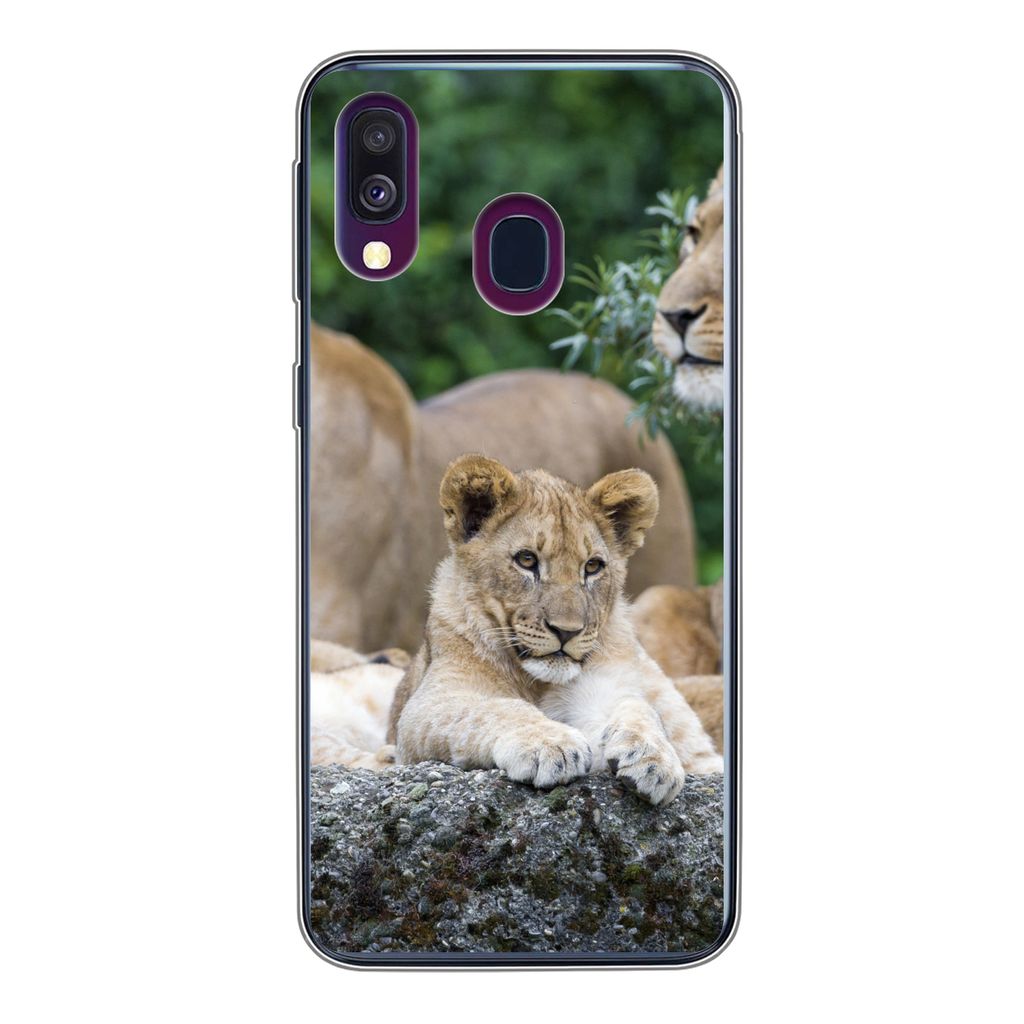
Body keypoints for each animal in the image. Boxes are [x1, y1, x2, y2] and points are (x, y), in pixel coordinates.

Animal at [387, 455, 722, 805]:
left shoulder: (605, 688)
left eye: (592, 566)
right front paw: (550, 745)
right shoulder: (426, 707)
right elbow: (494, 709)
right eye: (526, 559)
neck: (537, 682)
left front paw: (652, 756)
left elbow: (636, 707)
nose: (567, 632)